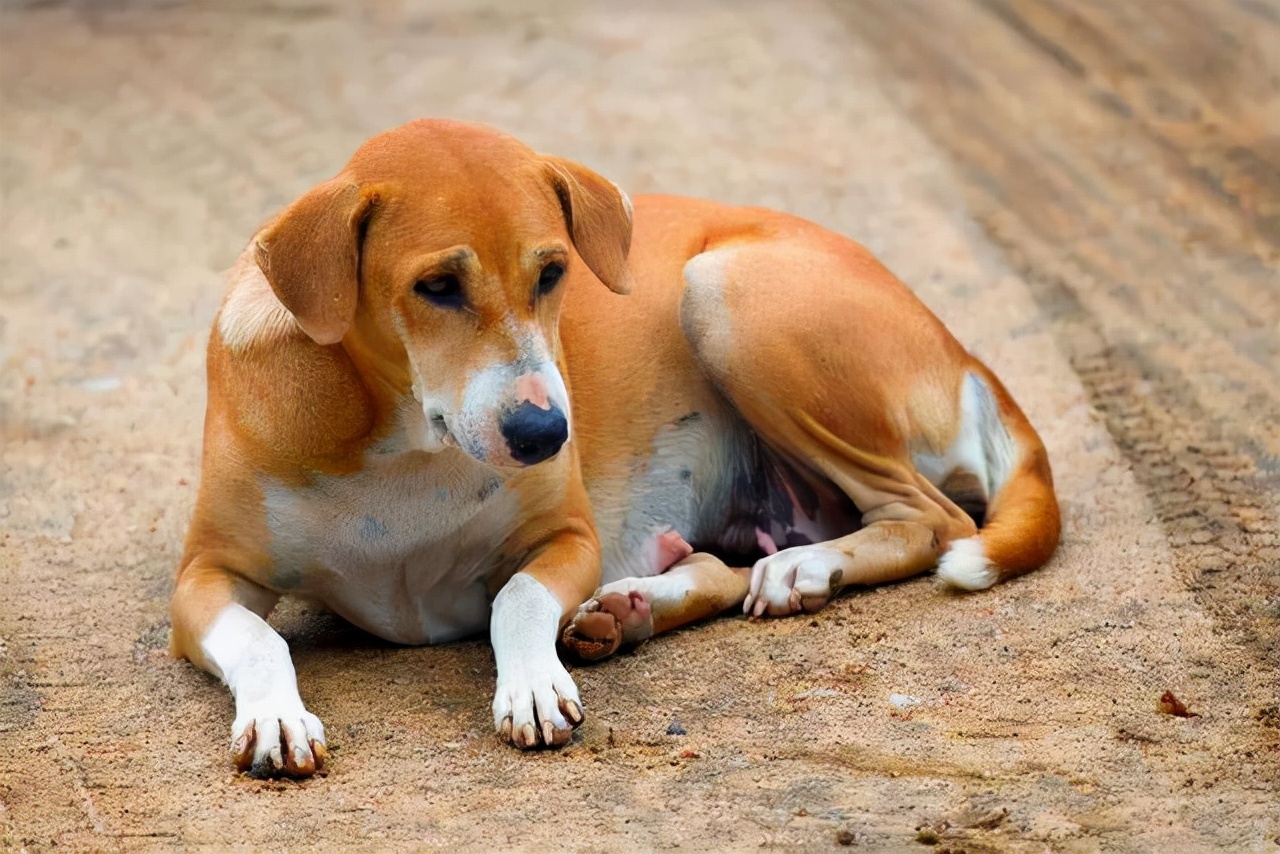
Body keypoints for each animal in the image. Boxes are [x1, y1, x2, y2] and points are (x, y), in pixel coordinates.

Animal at [172, 117, 1059, 778]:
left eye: (553, 271)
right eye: (436, 287)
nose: (546, 435)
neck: (402, 440)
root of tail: (956, 343)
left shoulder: (569, 537)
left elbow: (517, 596)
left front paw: (532, 684)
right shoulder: (204, 580)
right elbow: (260, 636)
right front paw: (276, 717)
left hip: (725, 293)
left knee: (934, 519)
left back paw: (799, 570)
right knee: (723, 567)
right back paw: (629, 611)